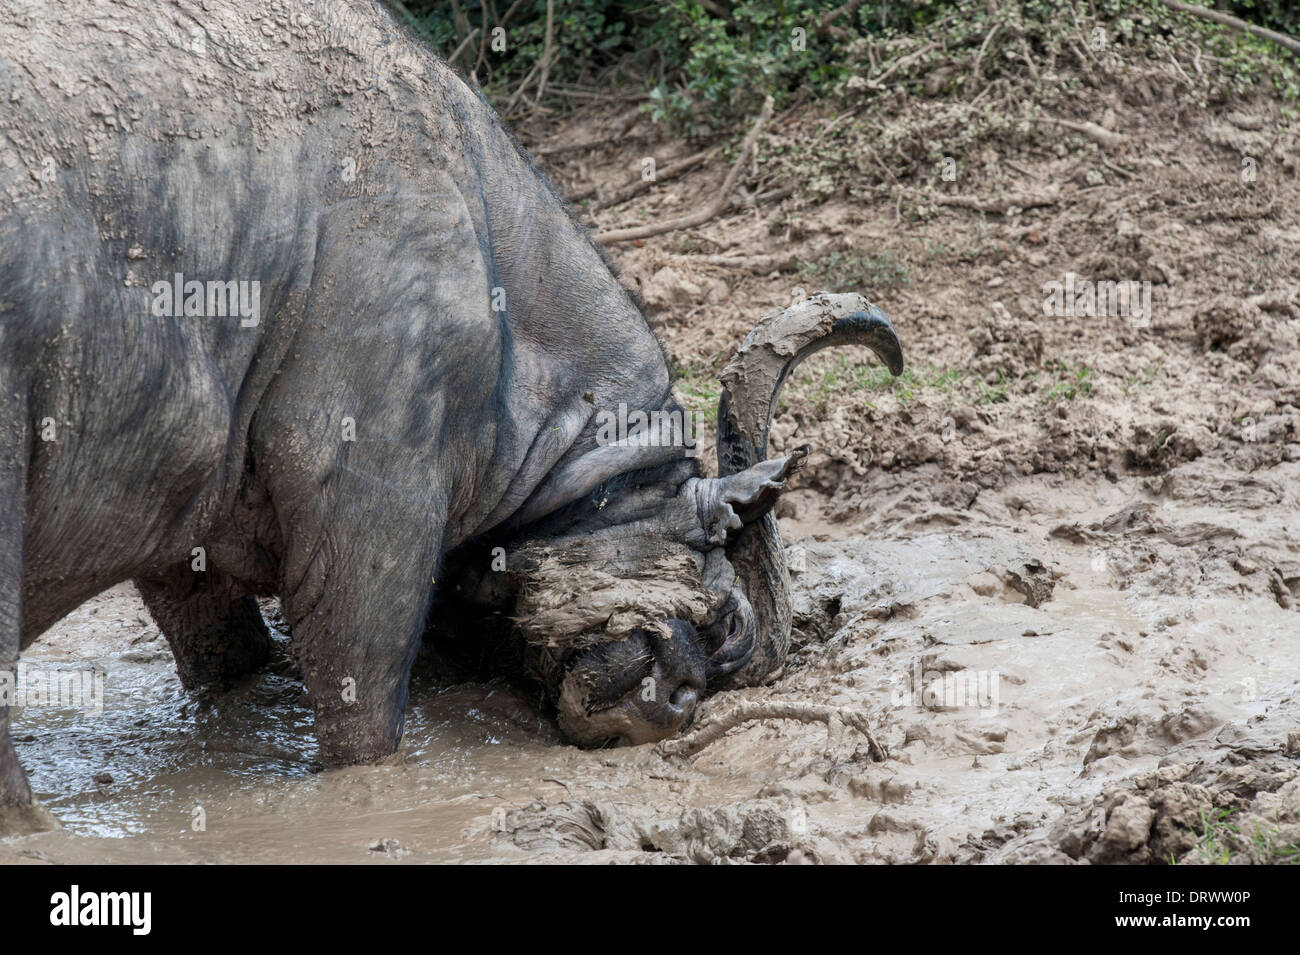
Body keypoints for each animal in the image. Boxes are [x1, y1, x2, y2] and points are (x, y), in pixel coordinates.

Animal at [0, 0, 904, 831]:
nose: (674, 706)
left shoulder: (182, 544)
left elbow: (230, 656)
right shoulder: (374, 514)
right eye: (727, 622)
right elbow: (362, 709)